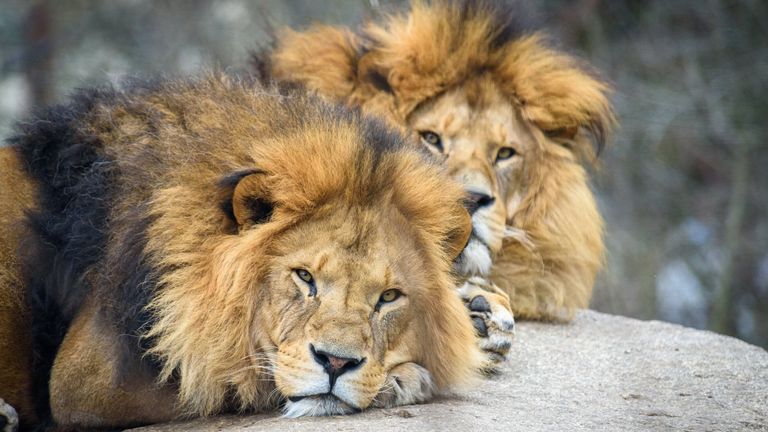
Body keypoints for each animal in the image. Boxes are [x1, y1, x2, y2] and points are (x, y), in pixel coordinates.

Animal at [0, 73, 480, 428]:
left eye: (388, 297)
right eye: (304, 277)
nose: (336, 363)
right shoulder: (87, 379)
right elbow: (231, 376)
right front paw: (407, 379)